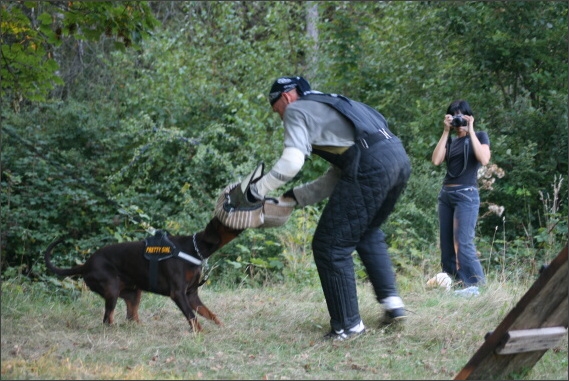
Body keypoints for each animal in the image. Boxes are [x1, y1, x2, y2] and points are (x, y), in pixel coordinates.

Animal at [42, 215, 242, 332]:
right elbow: (192, 316)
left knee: (131, 317)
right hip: (111, 289)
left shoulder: (192, 295)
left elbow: (210, 313)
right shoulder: (178, 294)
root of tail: (86, 265)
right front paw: (200, 333)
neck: (194, 249)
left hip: (133, 292)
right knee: (108, 319)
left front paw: (223, 327)